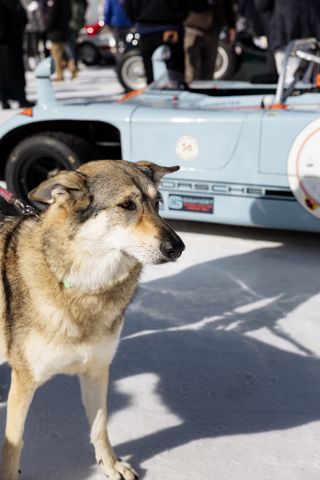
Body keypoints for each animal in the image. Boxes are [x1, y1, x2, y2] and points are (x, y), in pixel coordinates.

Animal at [0, 160, 184, 480]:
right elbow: (15, 442)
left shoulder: (96, 371)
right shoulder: (25, 381)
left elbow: (100, 427)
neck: (84, 288)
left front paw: (110, 465)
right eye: (127, 205)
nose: (178, 247)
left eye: (158, 203)